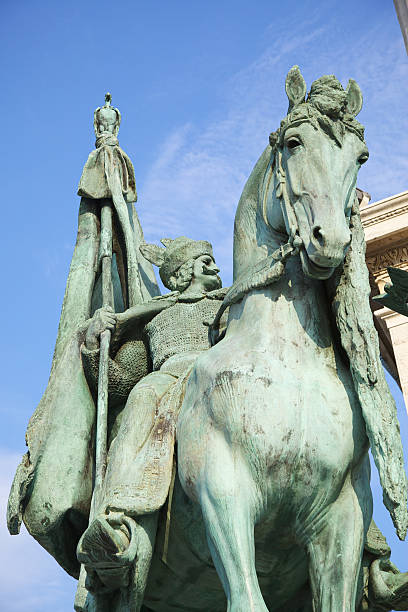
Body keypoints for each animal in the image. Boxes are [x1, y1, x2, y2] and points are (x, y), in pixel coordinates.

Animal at [139, 67, 406, 612]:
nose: (331, 241)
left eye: (361, 157)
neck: (287, 362)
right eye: (293, 142)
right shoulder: (225, 496)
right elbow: (247, 601)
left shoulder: (343, 518)